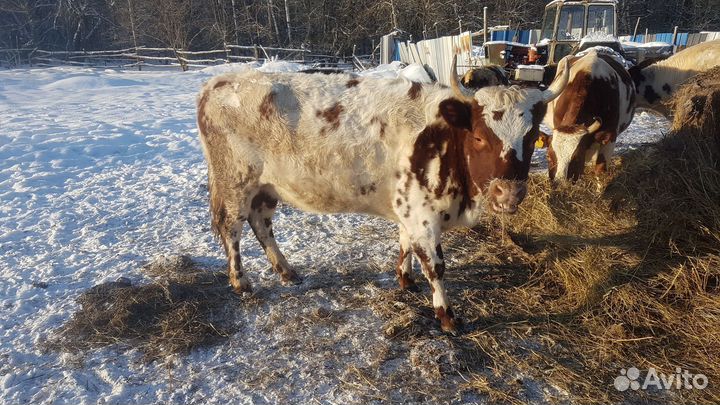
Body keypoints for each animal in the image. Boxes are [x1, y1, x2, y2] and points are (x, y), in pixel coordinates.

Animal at [196, 56, 571, 334]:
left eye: (531, 135)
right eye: (479, 137)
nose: (508, 192)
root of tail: (218, 83)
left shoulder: (408, 208)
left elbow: (404, 244)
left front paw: (405, 278)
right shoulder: (423, 217)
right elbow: (436, 267)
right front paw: (447, 316)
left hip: (265, 189)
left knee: (262, 225)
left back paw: (287, 271)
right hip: (235, 184)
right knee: (232, 228)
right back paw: (241, 281)